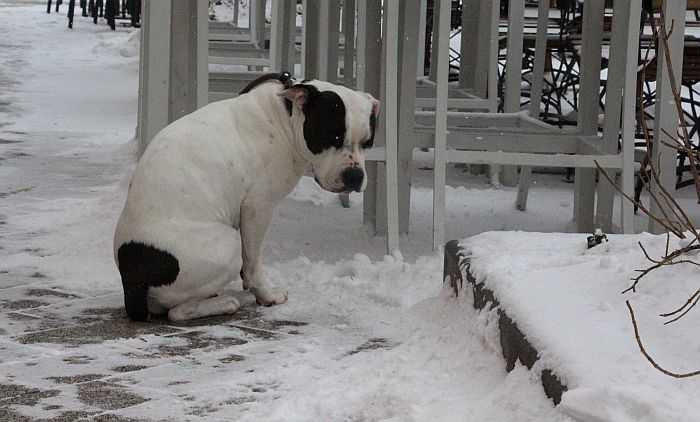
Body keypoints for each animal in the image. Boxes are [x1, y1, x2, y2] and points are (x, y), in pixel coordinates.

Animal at [115, 74, 378, 322]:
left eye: (368, 143)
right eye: (333, 137)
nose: (354, 176)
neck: (286, 115)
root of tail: (132, 280)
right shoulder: (257, 209)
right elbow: (252, 264)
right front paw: (266, 295)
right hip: (228, 245)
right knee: (177, 312)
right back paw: (222, 303)